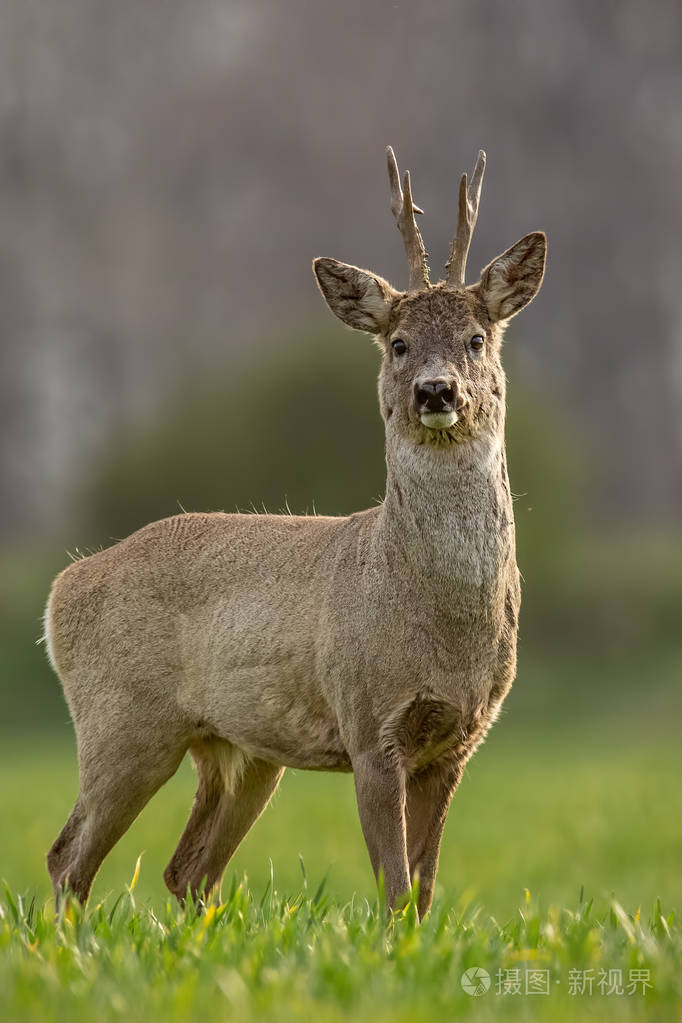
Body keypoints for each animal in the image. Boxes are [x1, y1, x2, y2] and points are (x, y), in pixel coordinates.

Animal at [45, 147, 546, 918]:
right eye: (397, 343)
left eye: (477, 338)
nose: (437, 391)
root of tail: (61, 587)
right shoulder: (369, 720)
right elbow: (393, 884)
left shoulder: (458, 739)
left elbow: (424, 886)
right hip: (120, 720)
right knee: (69, 856)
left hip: (240, 750)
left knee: (187, 869)